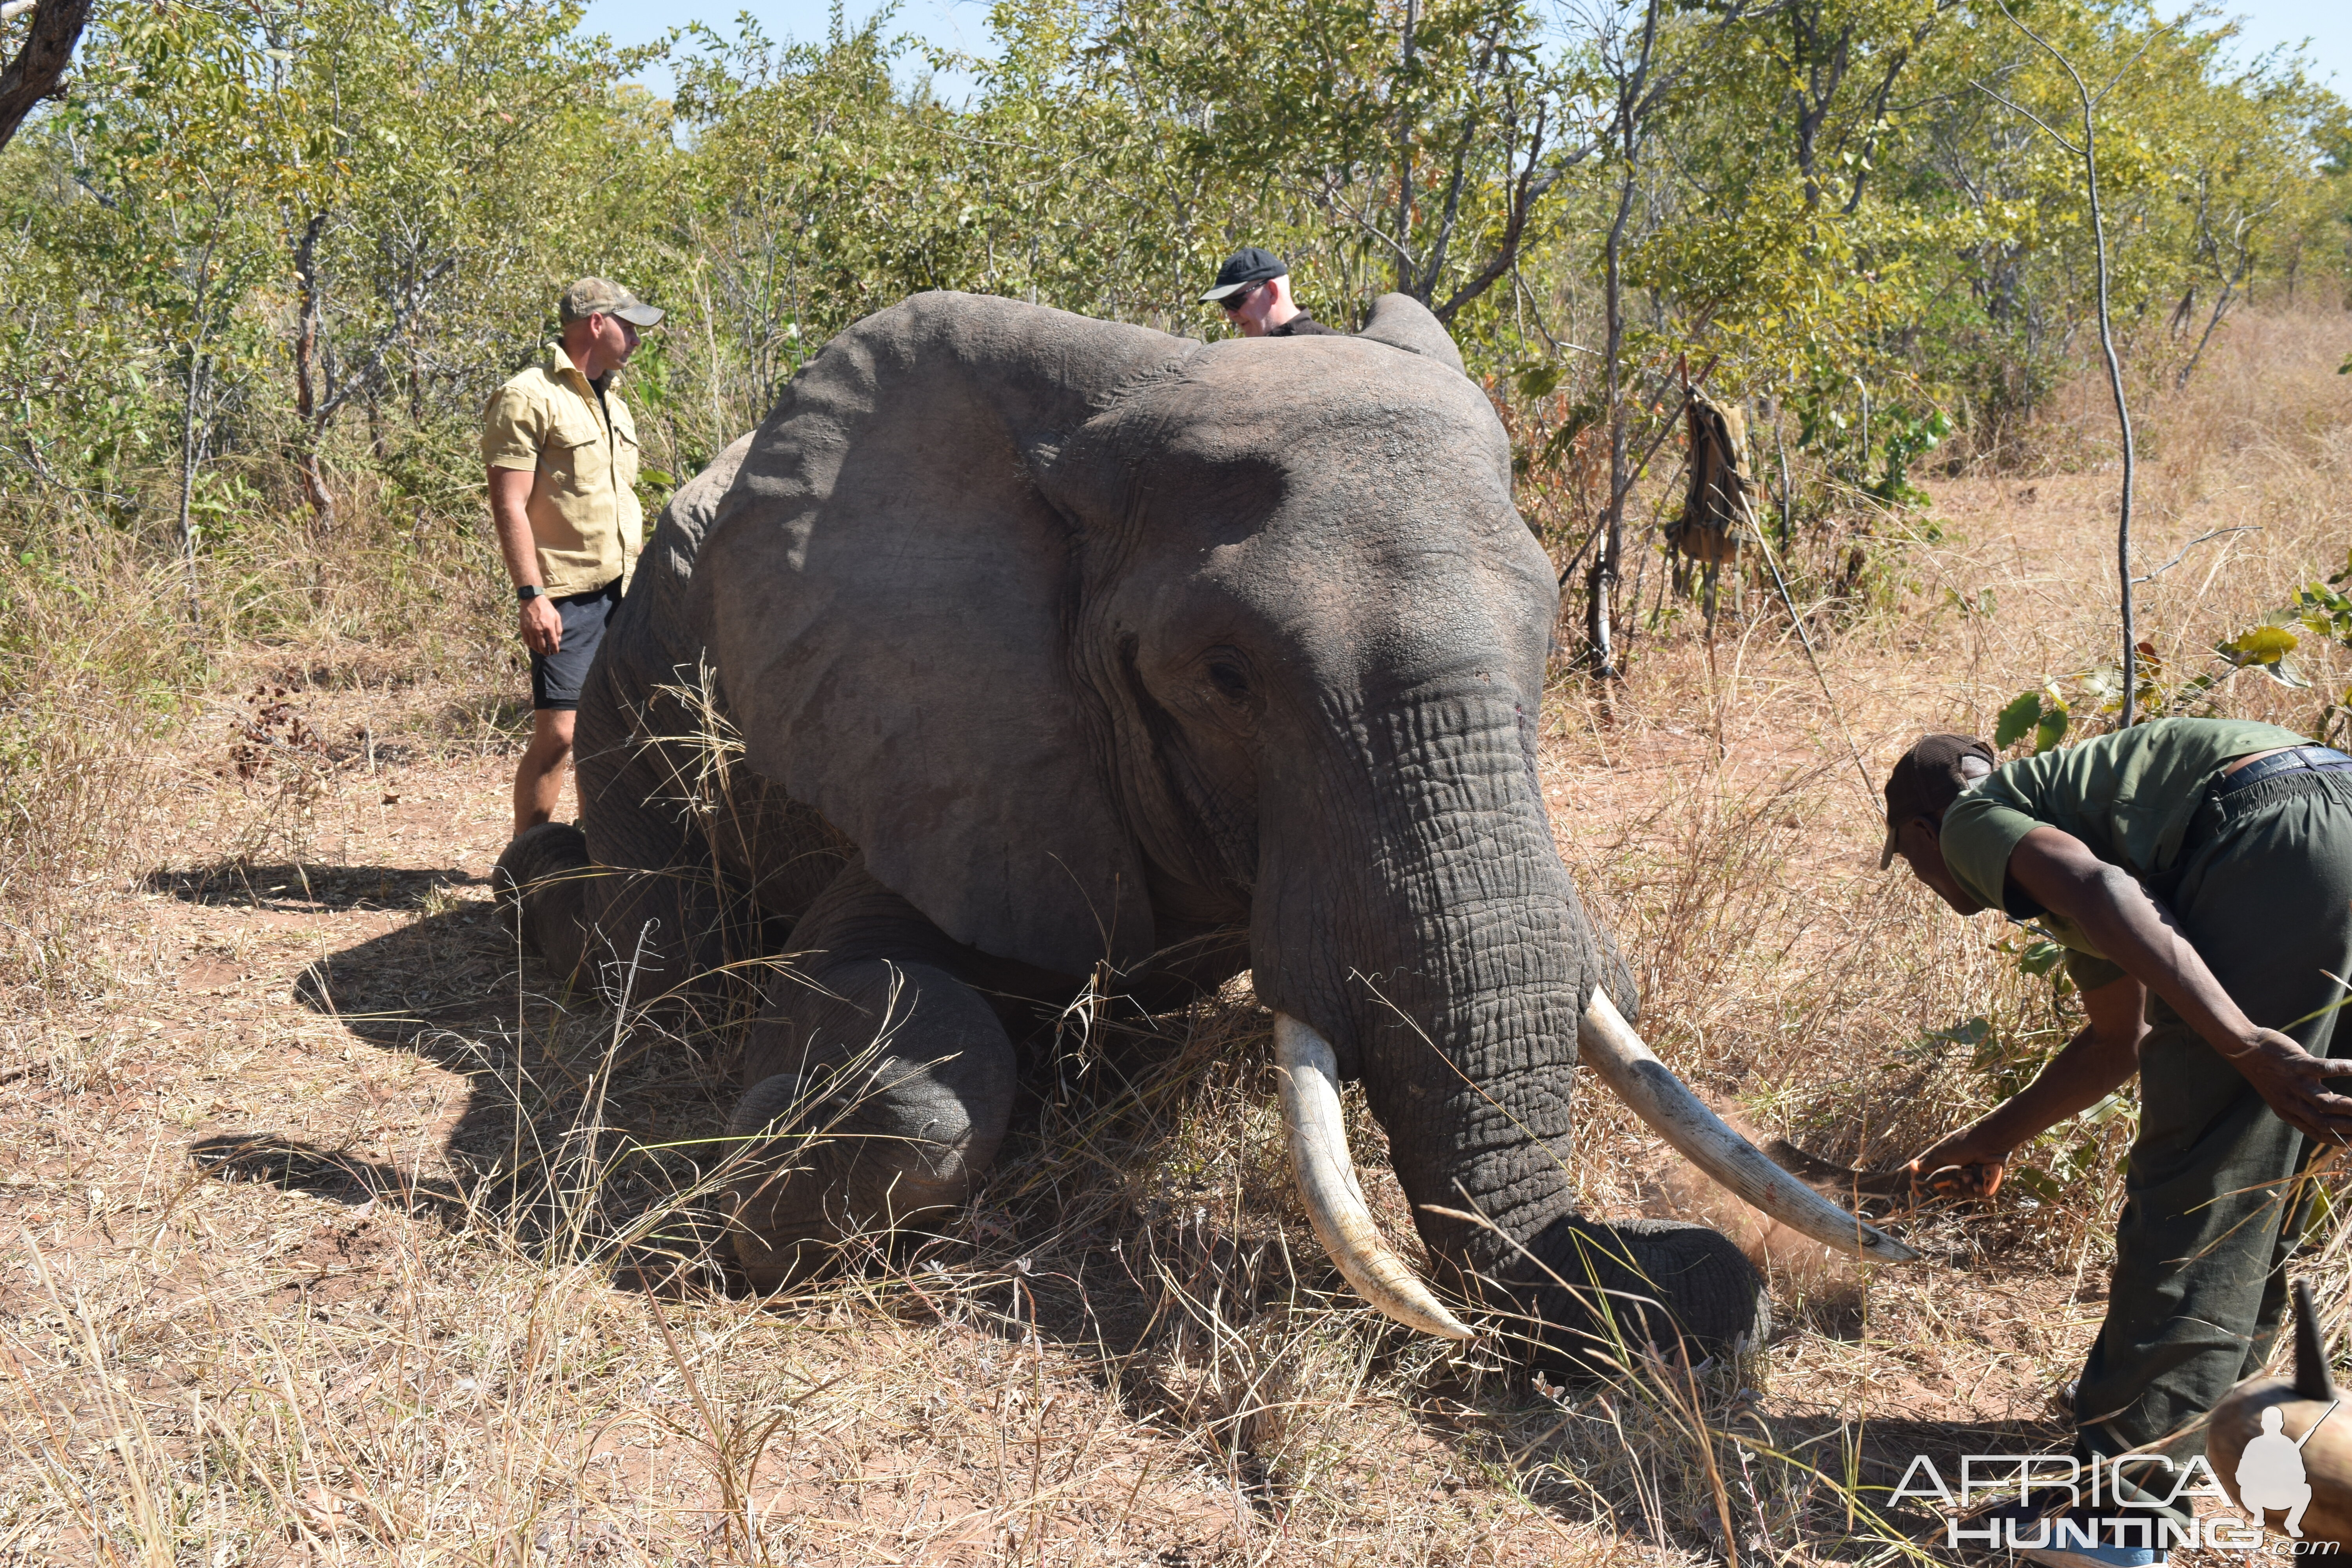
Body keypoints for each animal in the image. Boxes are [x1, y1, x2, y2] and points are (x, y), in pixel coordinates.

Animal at [501, 288, 1910, 1363]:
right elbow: (904, 1043)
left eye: (1551, 629)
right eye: (1226, 679)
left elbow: (1600, 972)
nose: (1693, 1280)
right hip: (634, 669)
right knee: (657, 936)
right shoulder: (953, 751)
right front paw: (746, 1188)